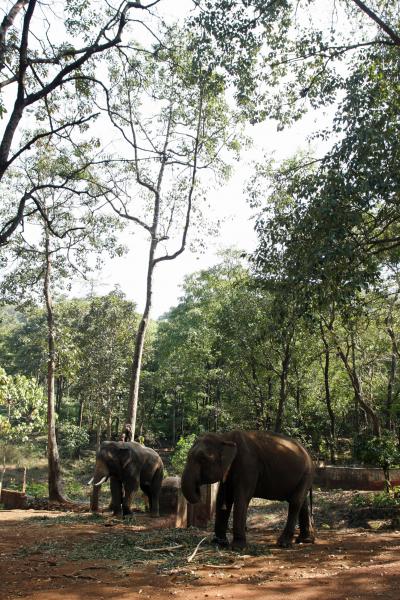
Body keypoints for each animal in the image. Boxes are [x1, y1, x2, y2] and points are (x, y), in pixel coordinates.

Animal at [181, 432, 316, 548]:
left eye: (202, 459)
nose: (198, 490)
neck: (225, 437)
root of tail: (309, 453)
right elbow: (223, 499)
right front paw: (219, 543)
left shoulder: (248, 465)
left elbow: (241, 497)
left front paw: (237, 547)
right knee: (301, 502)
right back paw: (305, 540)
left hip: (307, 473)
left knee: (295, 502)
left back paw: (283, 544)